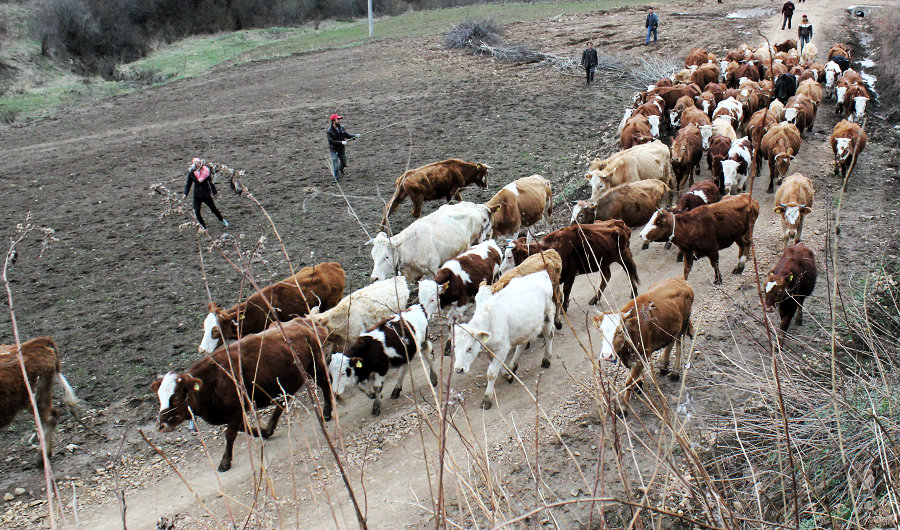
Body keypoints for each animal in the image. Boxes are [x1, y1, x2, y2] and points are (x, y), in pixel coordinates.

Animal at [151, 316, 334, 468]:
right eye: (160, 397)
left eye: (175, 397)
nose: (160, 425)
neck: (213, 380)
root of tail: (305, 322)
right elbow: (241, 428)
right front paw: (260, 431)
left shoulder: (238, 409)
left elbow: (230, 434)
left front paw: (225, 461)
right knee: (283, 400)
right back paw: (269, 428)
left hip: (316, 367)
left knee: (326, 384)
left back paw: (326, 411)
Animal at [450, 270, 556, 406]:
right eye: (454, 347)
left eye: (469, 348)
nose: (459, 369)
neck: (489, 321)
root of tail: (541, 273)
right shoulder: (490, 351)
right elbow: (498, 367)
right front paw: (508, 375)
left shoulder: (502, 348)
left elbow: (491, 373)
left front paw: (487, 398)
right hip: (524, 327)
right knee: (522, 344)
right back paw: (513, 365)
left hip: (547, 315)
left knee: (549, 335)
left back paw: (546, 359)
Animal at [500, 219, 640, 310]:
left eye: (509, 257)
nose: (500, 271)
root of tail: (618, 223)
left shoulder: (570, 273)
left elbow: (566, 290)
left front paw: (564, 307)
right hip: (603, 261)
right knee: (607, 276)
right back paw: (595, 298)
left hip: (622, 256)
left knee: (629, 271)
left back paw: (634, 291)